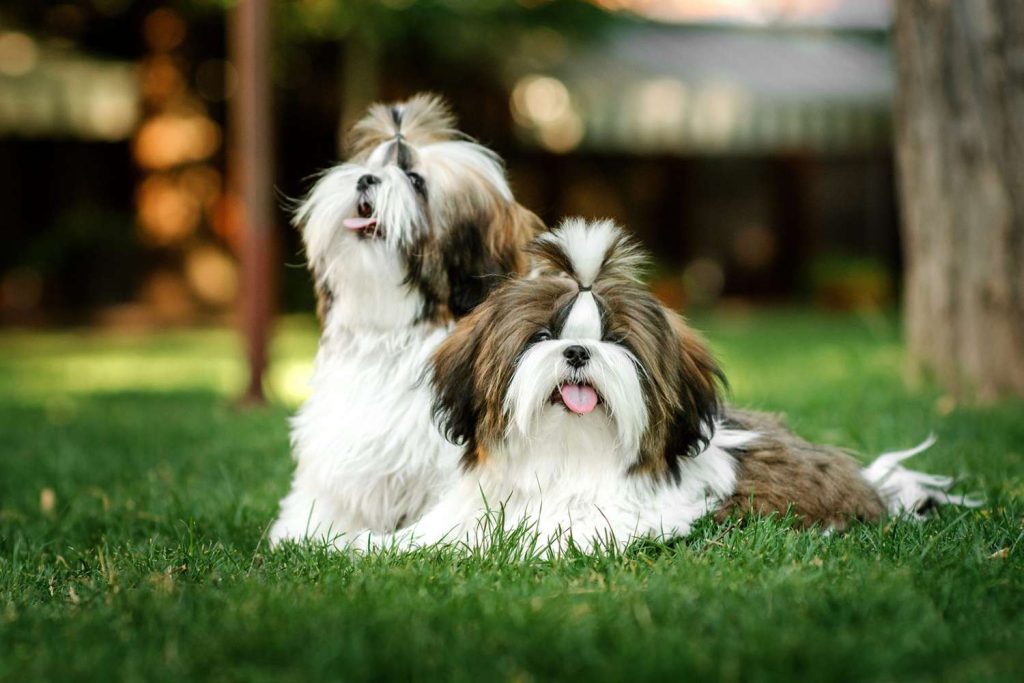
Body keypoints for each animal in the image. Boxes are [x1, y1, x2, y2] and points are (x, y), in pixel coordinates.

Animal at [350, 219, 974, 557]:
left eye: (616, 341)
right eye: (542, 337)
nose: (577, 352)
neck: (564, 458)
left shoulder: (632, 520)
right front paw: (357, 544)